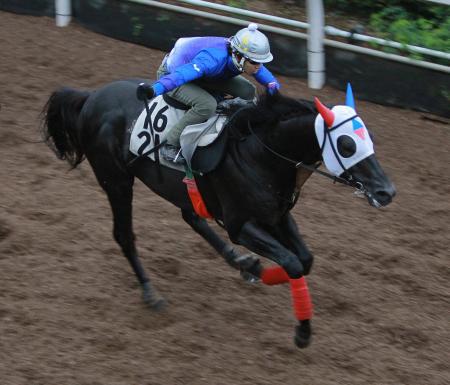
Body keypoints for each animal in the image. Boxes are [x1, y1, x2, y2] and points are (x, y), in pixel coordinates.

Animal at [41, 79, 394, 348]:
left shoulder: (276, 215)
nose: (386, 192)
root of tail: (90, 97)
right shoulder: (241, 225)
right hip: (116, 181)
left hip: (177, 188)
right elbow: (293, 262)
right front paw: (302, 332)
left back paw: (241, 262)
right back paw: (151, 293)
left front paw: (255, 268)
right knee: (125, 235)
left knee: (192, 217)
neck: (259, 151)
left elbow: (304, 260)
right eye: (347, 145)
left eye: (371, 139)